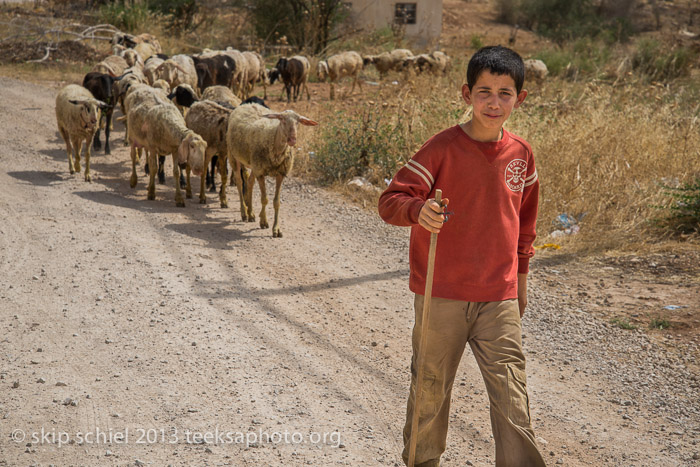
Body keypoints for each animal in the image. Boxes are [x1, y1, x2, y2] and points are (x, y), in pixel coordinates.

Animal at [227, 105, 318, 238]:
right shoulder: (261, 173)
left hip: (254, 164)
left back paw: (251, 213)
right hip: (234, 156)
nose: (292, 140)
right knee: (239, 182)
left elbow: (276, 202)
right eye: (283, 120)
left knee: (249, 182)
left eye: (298, 122)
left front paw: (276, 229)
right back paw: (244, 212)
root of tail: (247, 104)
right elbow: (264, 199)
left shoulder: (280, 174)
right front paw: (264, 222)